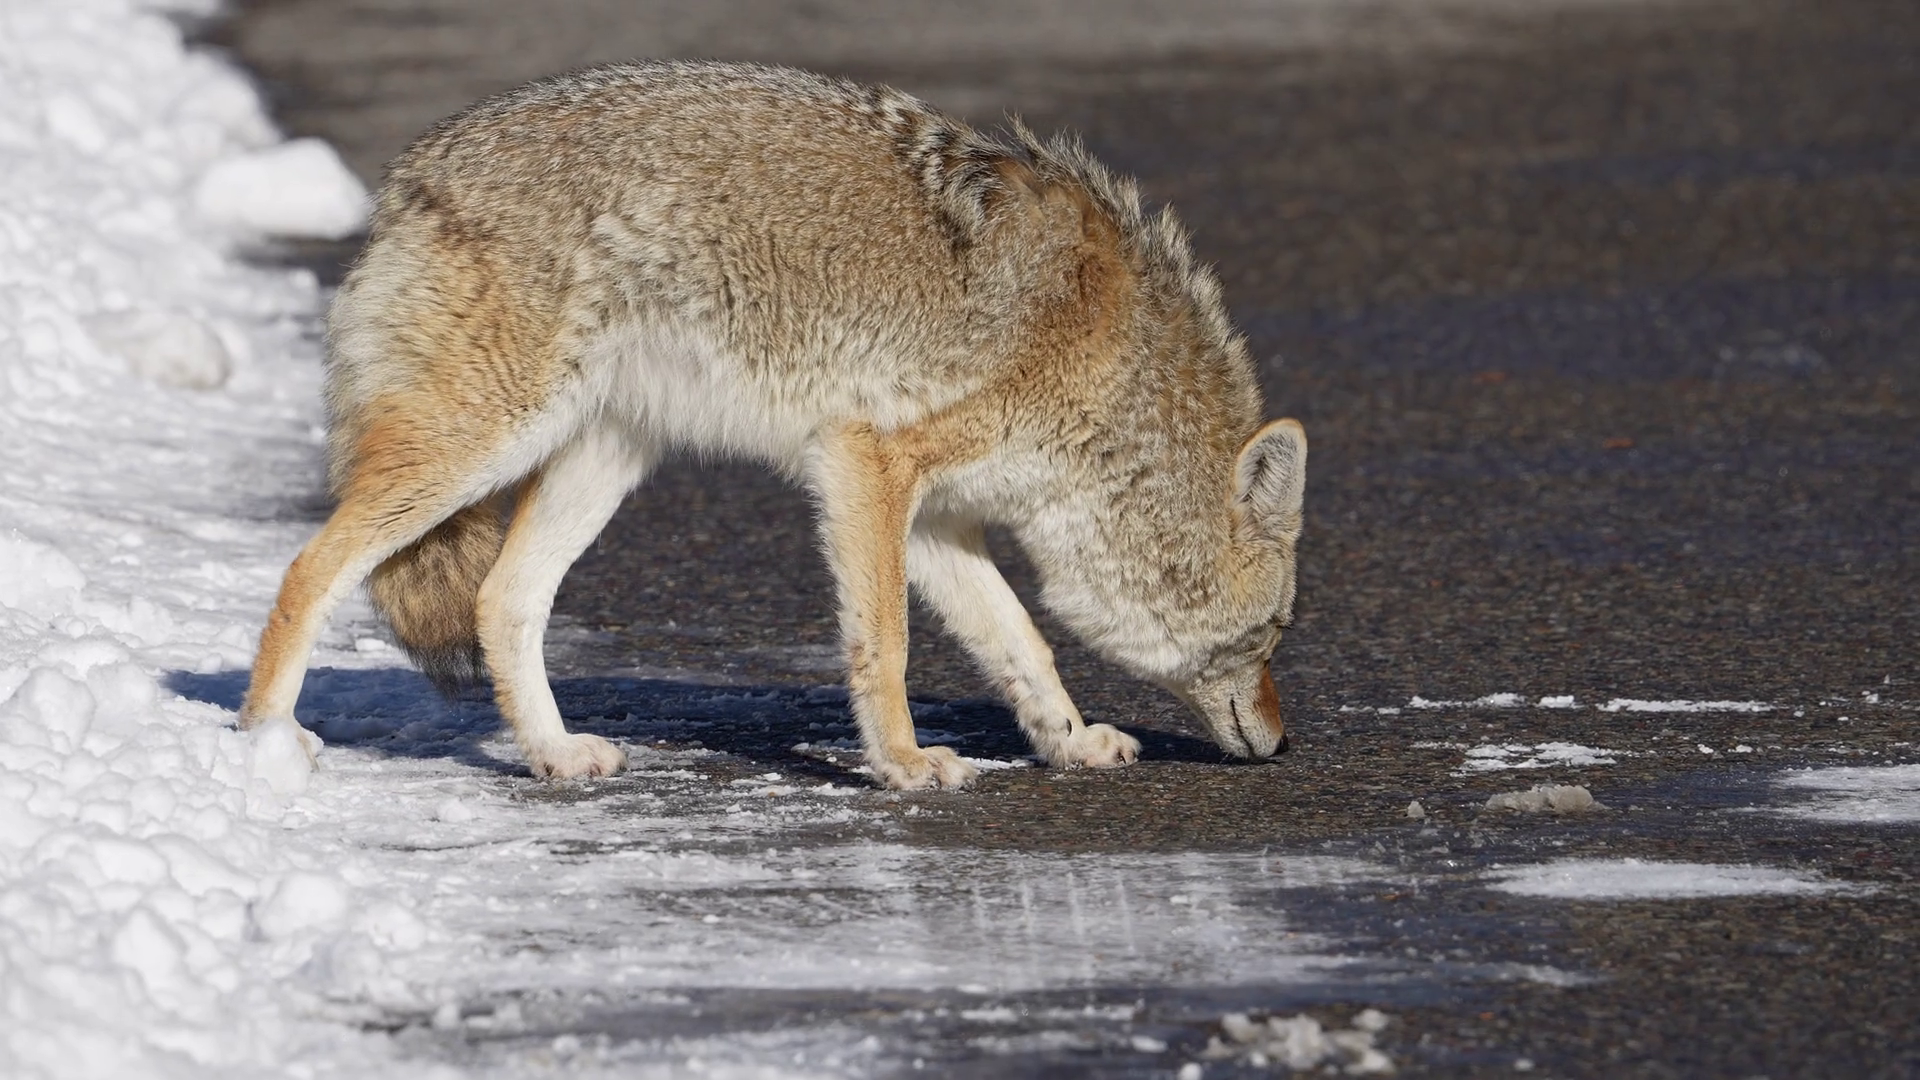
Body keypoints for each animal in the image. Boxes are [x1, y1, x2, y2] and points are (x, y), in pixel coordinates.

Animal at [239, 60, 1308, 791]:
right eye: (1278, 630)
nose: (1282, 739)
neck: (1109, 361)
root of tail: (407, 174)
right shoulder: (867, 465)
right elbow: (887, 643)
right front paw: (905, 765)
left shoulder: (935, 519)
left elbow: (1023, 643)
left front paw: (1072, 742)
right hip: (479, 448)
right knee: (308, 570)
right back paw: (267, 749)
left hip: (604, 458)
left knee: (501, 600)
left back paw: (553, 754)